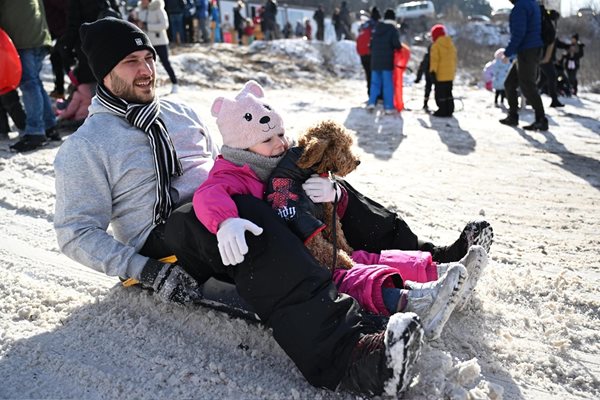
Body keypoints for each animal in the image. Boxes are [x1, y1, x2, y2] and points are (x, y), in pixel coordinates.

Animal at [296, 120, 360, 272]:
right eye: (342, 148)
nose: (358, 161)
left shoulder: (328, 209)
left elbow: (338, 234)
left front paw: (349, 249)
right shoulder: (329, 212)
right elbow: (337, 235)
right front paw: (349, 252)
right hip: (313, 236)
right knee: (328, 254)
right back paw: (349, 263)